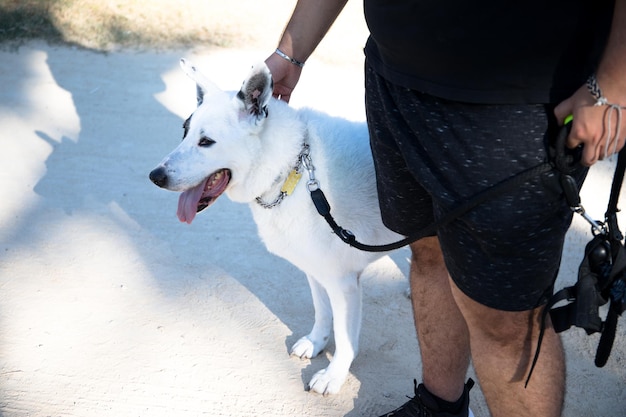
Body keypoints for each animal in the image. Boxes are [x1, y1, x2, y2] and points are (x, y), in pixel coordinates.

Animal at [149, 60, 400, 394]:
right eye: (184, 132)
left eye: (206, 142)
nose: (155, 176)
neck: (291, 169)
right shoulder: (315, 271)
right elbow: (322, 312)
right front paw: (316, 342)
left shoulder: (343, 282)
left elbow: (346, 340)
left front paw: (334, 375)